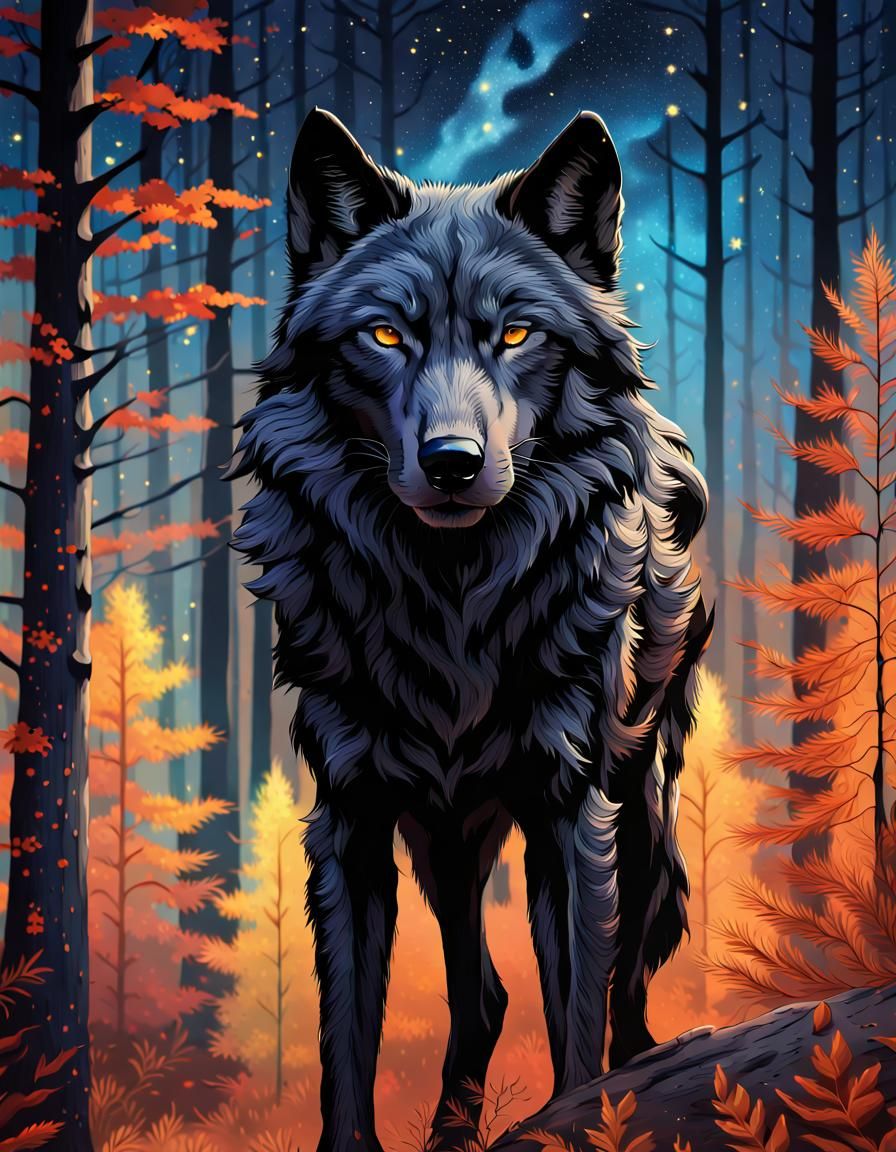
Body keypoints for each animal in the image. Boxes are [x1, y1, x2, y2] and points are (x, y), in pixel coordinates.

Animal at [231, 107, 711, 1152]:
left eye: (518, 333)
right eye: (383, 334)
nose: (452, 460)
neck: (452, 603)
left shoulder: (572, 813)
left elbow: (578, 1023)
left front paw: (583, 1120)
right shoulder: (350, 821)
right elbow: (345, 1044)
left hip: (640, 798)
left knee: (622, 985)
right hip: (445, 837)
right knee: (484, 993)